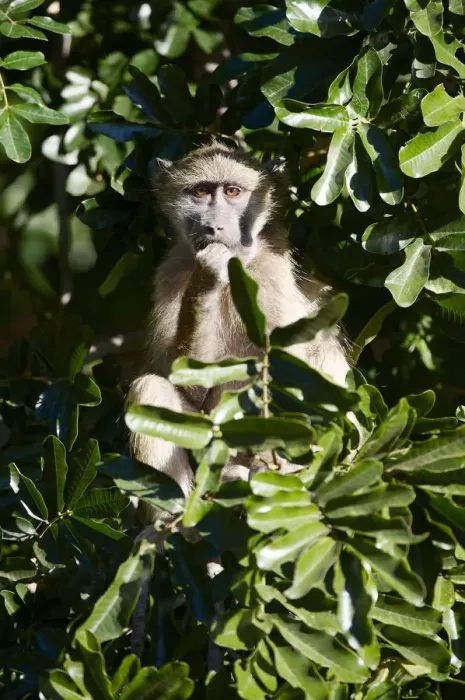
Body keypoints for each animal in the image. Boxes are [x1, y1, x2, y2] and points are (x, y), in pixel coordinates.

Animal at [127, 142, 350, 498]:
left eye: (233, 191)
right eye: (200, 191)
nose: (213, 228)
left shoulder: (270, 274)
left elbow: (286, 367)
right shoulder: (172, 273)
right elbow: (186, 384)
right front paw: (207, 276)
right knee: (149, 389)